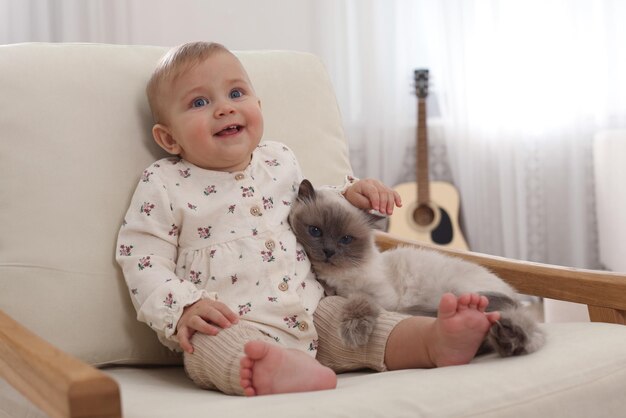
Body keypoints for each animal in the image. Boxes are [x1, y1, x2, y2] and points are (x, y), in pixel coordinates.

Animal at [290, 179, 544, 356]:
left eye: (345, 239)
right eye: (315, 231)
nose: (328, 252)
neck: (340, 277)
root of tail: (512, 295)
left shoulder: (380, 298)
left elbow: (357, 302)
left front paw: (354, 332)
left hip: (462, 291)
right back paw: (502, 339)